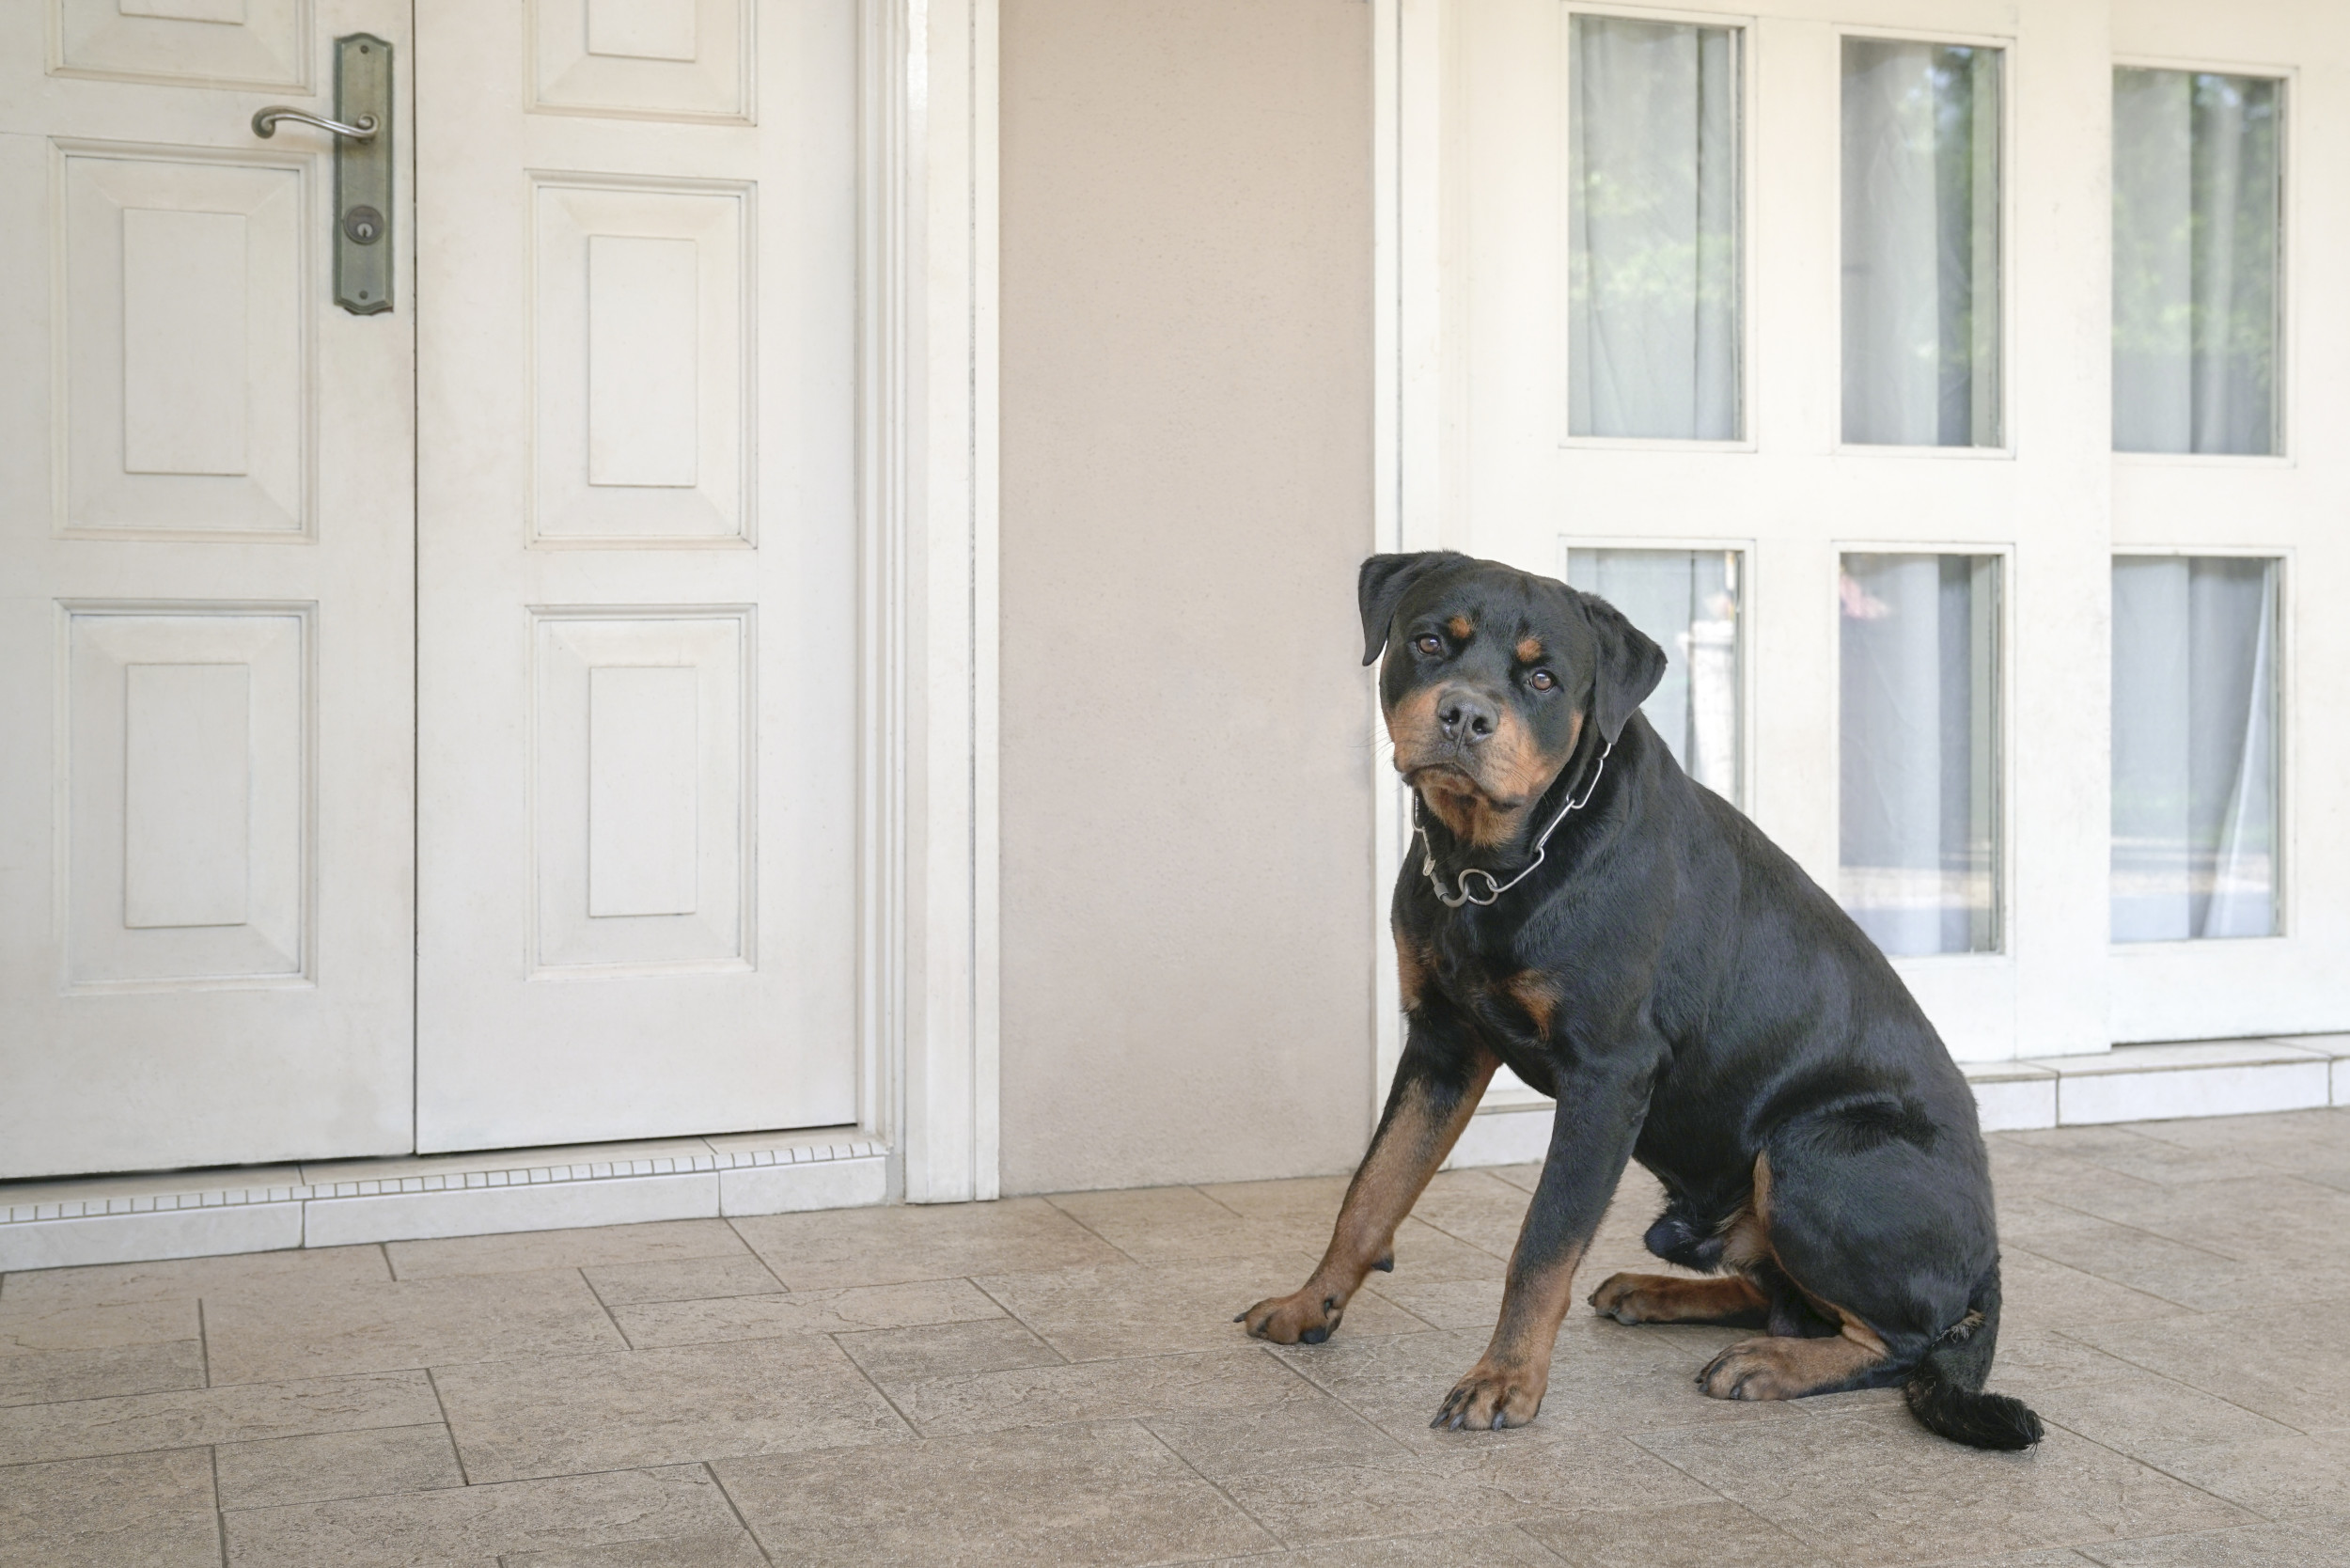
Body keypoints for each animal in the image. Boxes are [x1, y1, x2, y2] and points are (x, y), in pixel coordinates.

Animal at [1250, 555, 2040, 1457]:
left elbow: (1542, 1243)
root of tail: (1990, 1258)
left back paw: (1769, 1365)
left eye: (1544, 678)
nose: (1464, 714)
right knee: (1790, 1302)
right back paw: (1656, 1292)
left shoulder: (1607, 1075)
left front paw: (1504, 1381)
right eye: (1427, 643)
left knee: (1896, 1338)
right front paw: (1308, 1304)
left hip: (1813, 1154)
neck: (1493, 865)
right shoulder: (1442, 1045)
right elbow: (1370, 1190)